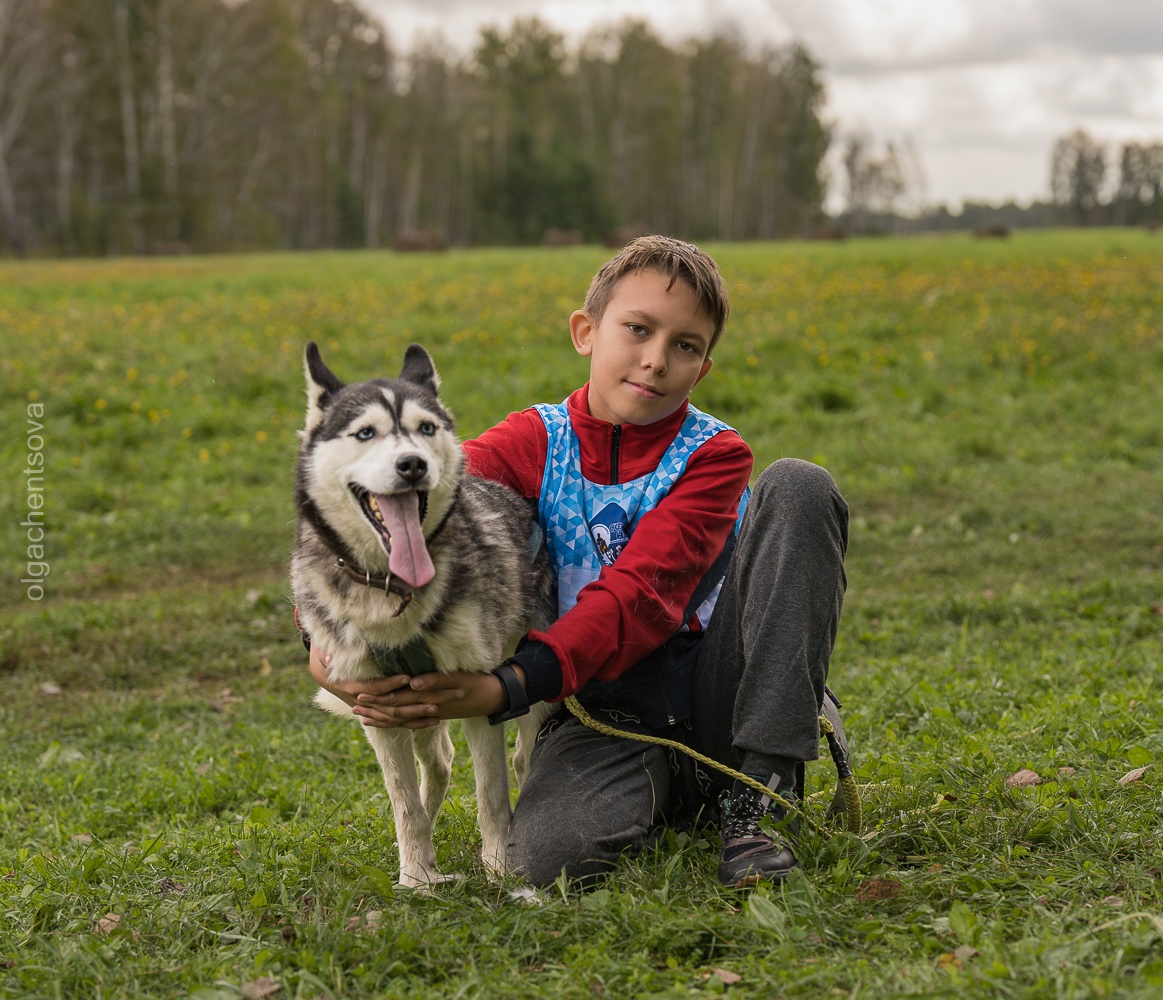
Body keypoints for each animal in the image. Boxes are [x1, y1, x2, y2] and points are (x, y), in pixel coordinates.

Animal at [295, 346, 558, 888]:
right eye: (365, 433)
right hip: (417, 711)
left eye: (426, 428)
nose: (413, 464)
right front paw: (416, 877)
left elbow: (491, 796)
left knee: (522, 759)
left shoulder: (484, 694)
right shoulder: (379, 709)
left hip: (534, 684)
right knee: (437, 765)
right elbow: (404, 803)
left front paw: (500, 873)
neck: (392, 590)